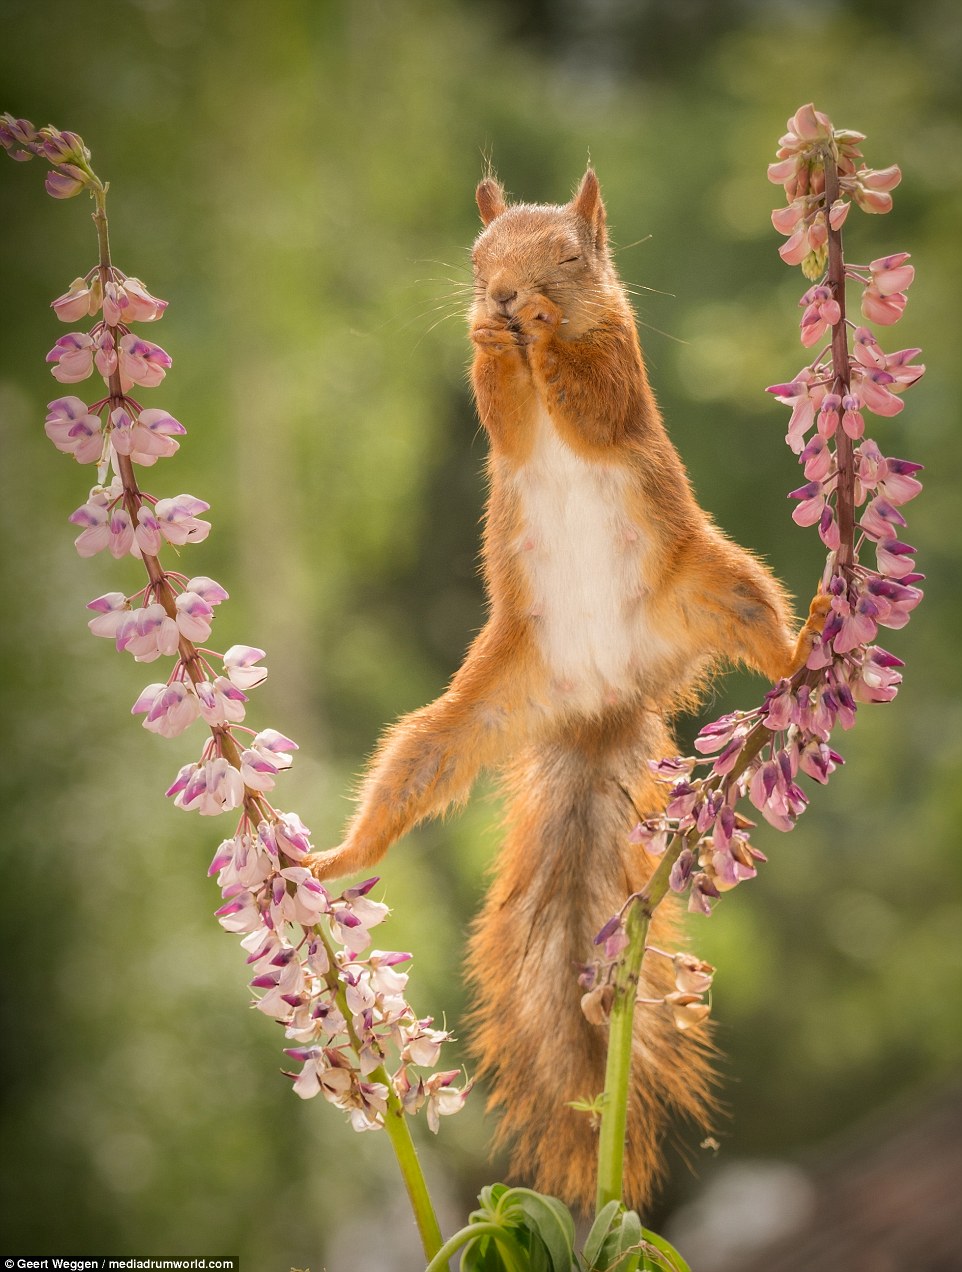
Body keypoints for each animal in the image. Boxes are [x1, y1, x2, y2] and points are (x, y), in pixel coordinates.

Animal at [310, 171, 834, 1210]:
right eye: (477, 259)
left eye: (568, 253)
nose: (507, 296)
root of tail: (599, 702)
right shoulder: (506, 420)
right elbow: (504, 412)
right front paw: (489, 339)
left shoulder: (622, 370)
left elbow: (590, 401)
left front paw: (548, 335)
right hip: (472, 707)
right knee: (409, 773)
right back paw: (337, 858)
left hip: (719, 585)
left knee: (768, 635)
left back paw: (808, 641)